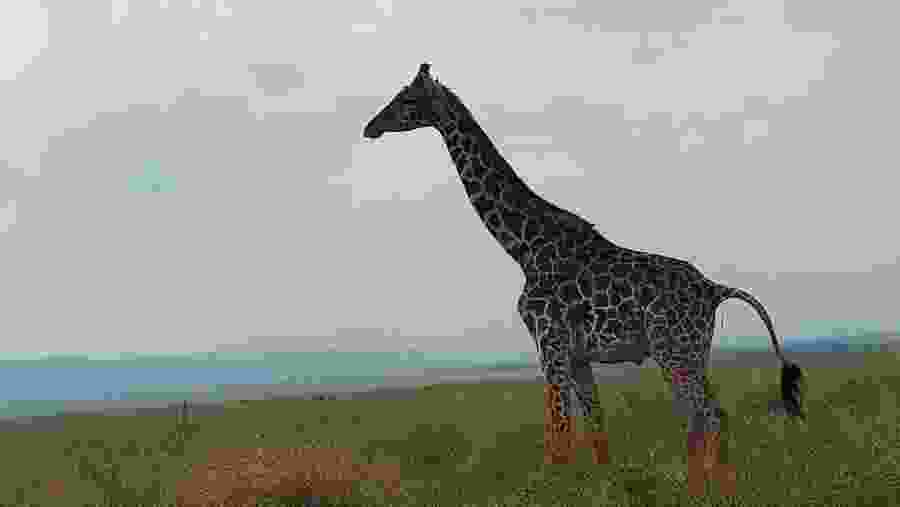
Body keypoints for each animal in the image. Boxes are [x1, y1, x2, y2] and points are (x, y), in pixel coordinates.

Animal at [363, 63, 805, 496]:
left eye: (406, 100)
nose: (371, 127)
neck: (524, 248)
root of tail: (715, 290)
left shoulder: (549, 341)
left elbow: (559, 429)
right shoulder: (577, 355)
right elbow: (595, 428)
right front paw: (605, 486)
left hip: (673, 350)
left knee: (705, 415)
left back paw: (701, 490)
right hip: (695, 351)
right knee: (710, 415)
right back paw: (714, 486)